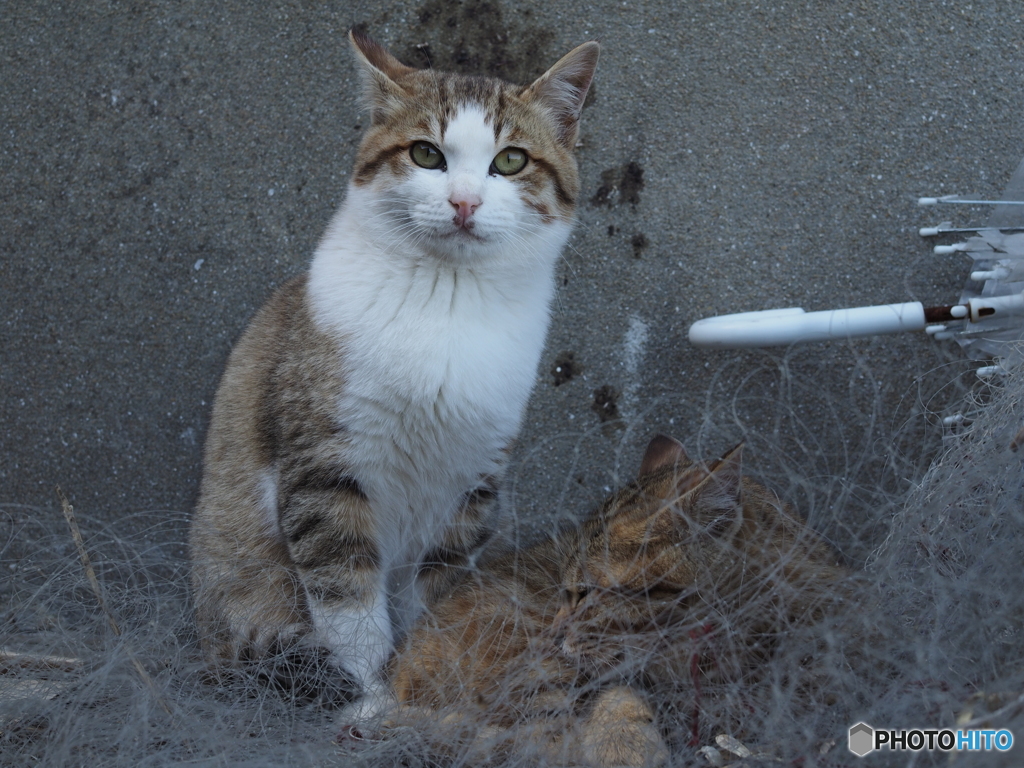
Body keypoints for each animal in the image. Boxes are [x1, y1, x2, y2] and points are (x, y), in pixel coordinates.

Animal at [190, 25, 598, 720]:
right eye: (426, 154)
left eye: (511, 162)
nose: (463, 202)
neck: (446, 300)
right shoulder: (325, 475)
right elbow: (348, 601)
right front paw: (372, 697)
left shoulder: (471, 489)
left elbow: (433, 597)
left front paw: (427, 676)